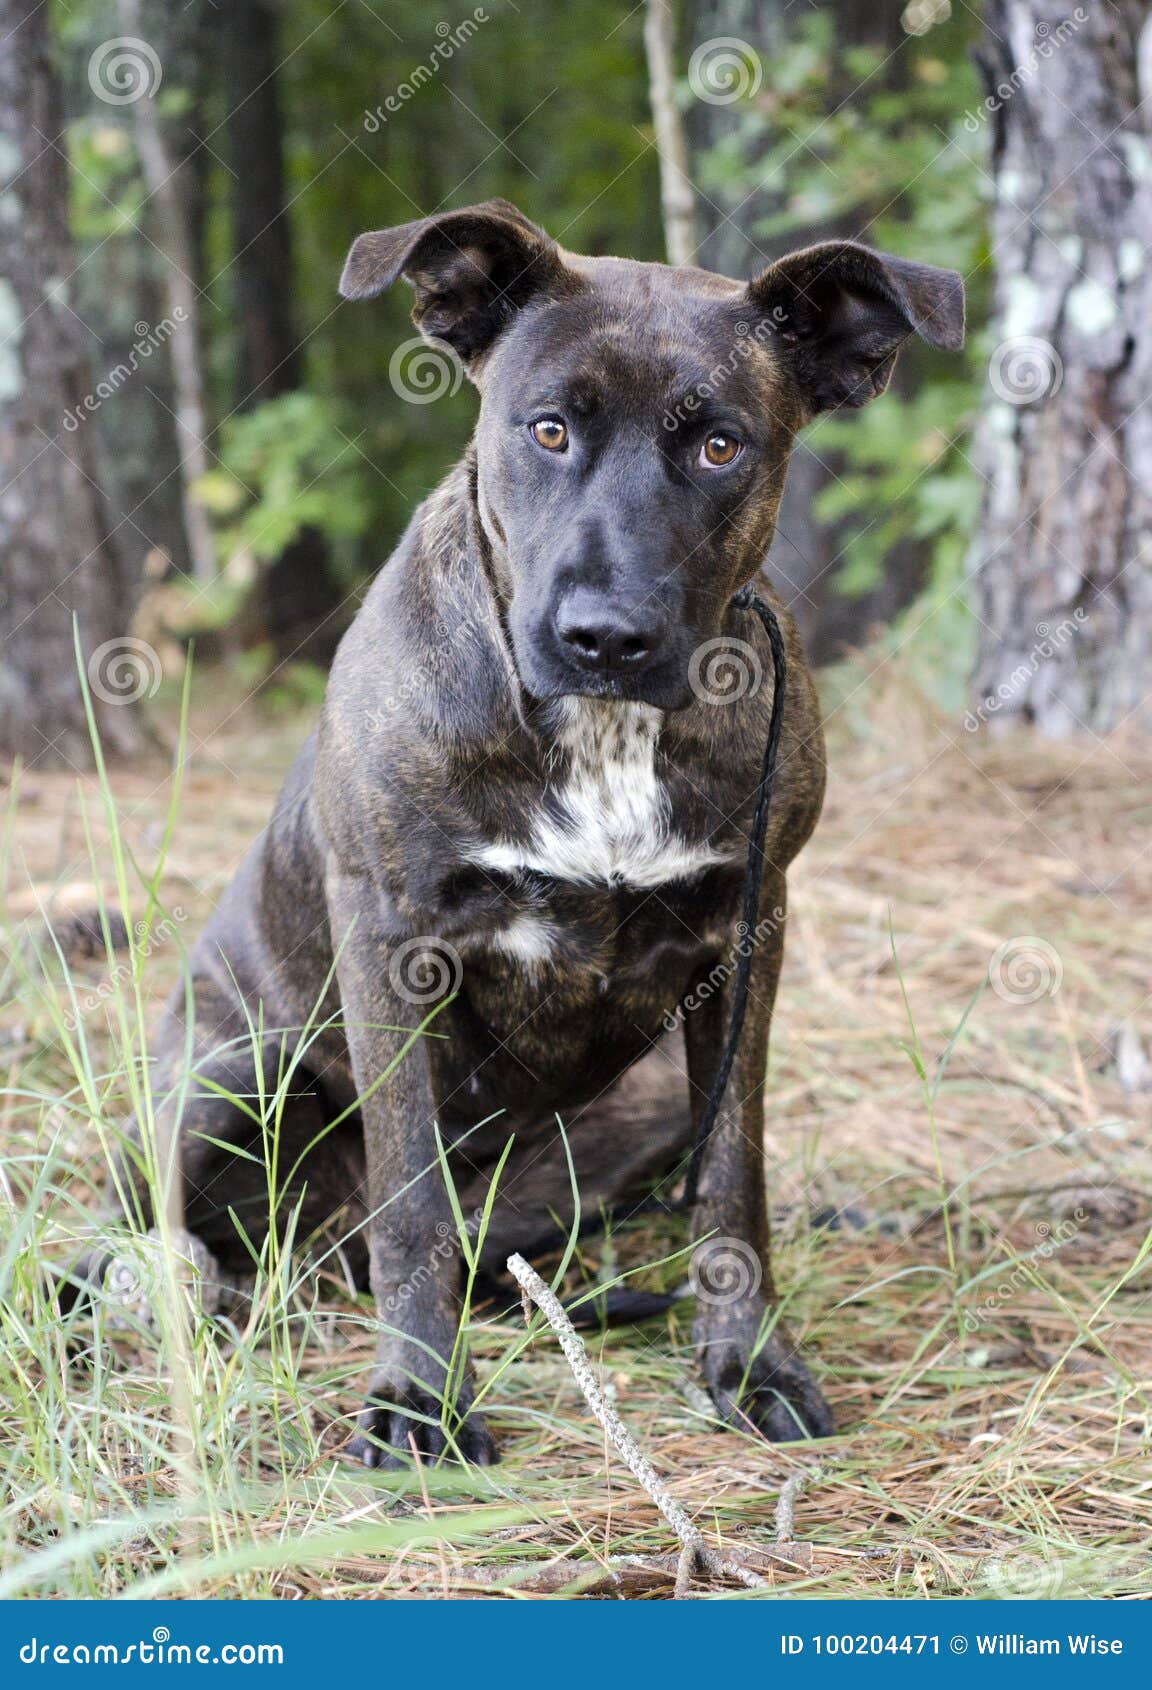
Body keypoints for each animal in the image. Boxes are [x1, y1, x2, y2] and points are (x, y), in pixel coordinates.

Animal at [83, 197, 959, 1466]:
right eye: (547, 429)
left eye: (722, 446)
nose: (607, 634)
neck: (601, 728)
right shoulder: (391, 938)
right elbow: (409, 1201)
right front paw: (418, 1394)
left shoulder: (749, 935)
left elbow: (733, 1178)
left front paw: (749, 1361)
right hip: (232, 1069)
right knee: (149, 1231)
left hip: (637, 1105)